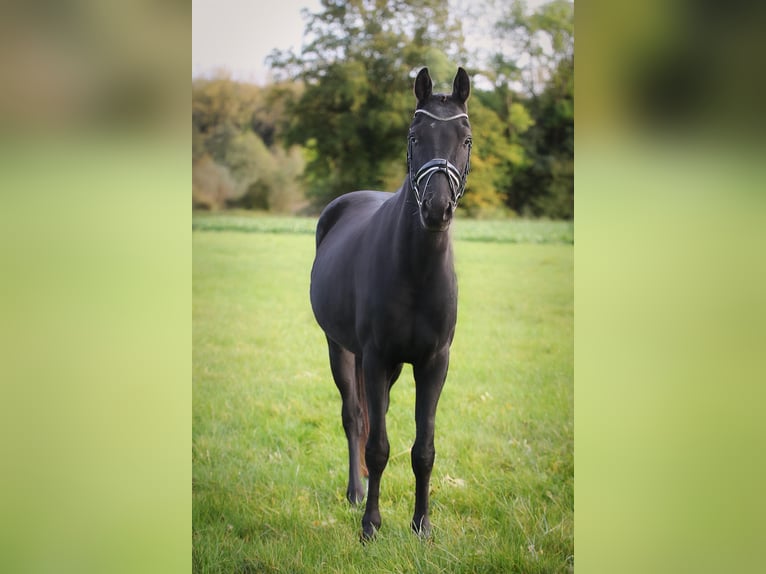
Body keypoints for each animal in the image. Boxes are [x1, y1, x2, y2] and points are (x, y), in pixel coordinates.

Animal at [308, 66, 472, 540]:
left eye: (466, 139)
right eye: (414, 136)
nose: (437, 208)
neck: (416, 269)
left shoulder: (432, 363)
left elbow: (424, 450)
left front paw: (422, 526)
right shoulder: (377, 357)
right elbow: (378, 445)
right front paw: (370, 525)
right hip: (343, 350)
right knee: (354, 417)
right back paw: (355, 491)